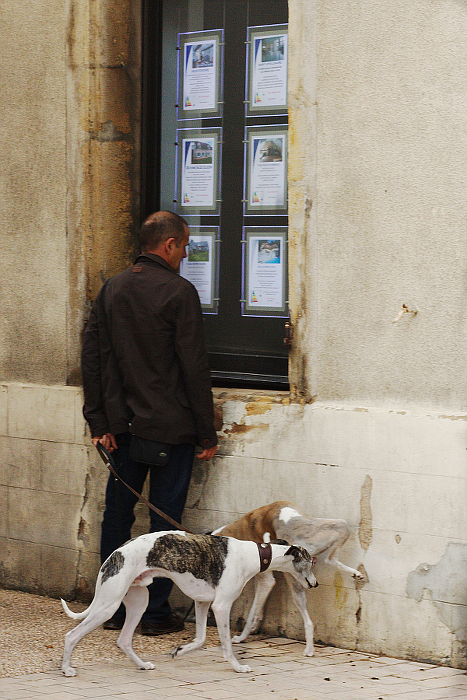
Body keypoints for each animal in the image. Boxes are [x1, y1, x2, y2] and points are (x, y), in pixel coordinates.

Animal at [61, 532, 318, 676]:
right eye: (310, 562)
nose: (315, 584)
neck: (253, 555)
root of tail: (114, 554)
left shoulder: (202, 602)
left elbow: (201, 639)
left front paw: (179, 650)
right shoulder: (221, 606)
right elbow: (226, 645)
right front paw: (238, 667)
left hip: (138, 602)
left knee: (123, 640)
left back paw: (143, 665)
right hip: (108, 605)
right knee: (71, 635)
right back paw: (66, 669)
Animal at [212, 498, 366, 656]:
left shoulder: (266, 579)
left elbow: (252, 611)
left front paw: (241, 637)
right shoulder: (261, 578)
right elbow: (257, 607)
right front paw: (255, 626)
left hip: (296, 571)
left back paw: (309, 649)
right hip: (337, 527)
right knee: (330, 559)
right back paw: (354, 573)